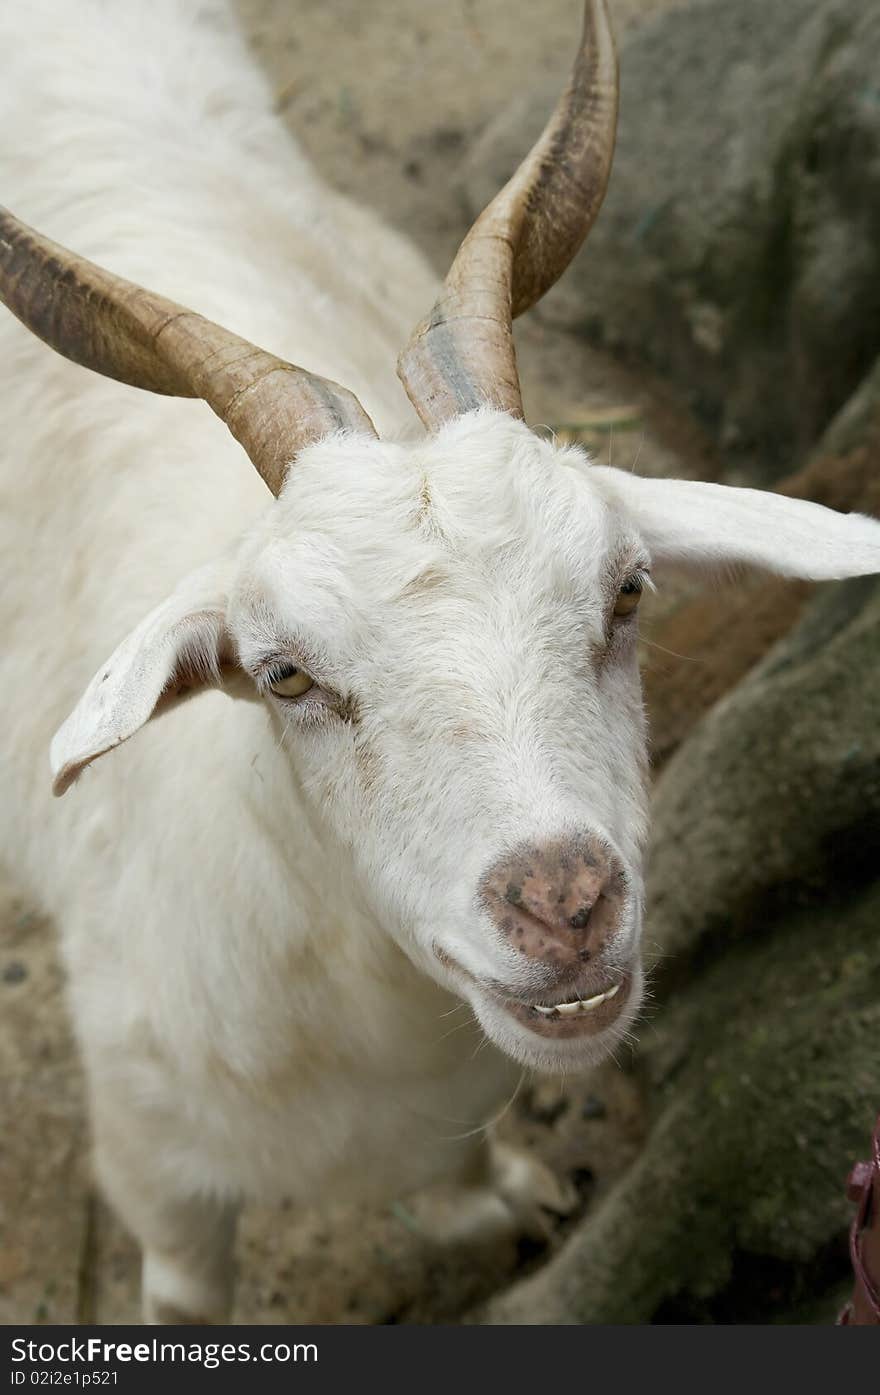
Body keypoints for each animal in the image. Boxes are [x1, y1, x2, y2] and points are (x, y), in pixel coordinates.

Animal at [1, 0, 880, 1322]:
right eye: (284, 673)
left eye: (627, 590)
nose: (564, 906)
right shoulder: (155, 1164)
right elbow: (188, 1296)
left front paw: (505, 1199)